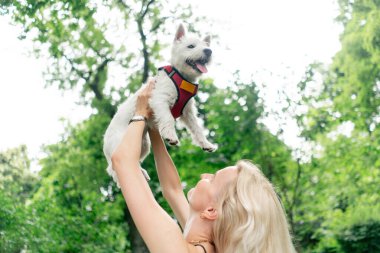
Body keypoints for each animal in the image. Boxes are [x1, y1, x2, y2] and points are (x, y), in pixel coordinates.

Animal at [103, 24, 217, 186]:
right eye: (191, 46)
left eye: (206, 46)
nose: (208, 51)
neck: (182, 77)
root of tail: (105, 143)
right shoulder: (160, 100)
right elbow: (168, 119)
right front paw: (171, 136)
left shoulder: (188, 113)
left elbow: (197, 129)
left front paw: (206, 144)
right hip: (121, 145)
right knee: (112, 167)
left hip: (143, 145)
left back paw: (142, 173)